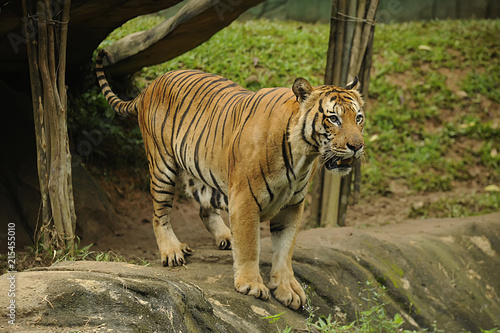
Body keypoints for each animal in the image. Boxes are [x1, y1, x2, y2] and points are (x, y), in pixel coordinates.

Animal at [95, 48, 366, 308]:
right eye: (333, 118)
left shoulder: (291, 206)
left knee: (204, 209)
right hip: (162, 166)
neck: (304, 155)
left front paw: (287, 289)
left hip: (203, 171)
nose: (357, 146)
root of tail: (150, 86)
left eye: (358, 118)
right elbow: (249, 246)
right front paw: (251, 285)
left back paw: (223, 237)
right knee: (158, 214)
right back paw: (172, 251)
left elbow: (284, 249)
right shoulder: (245, 199)